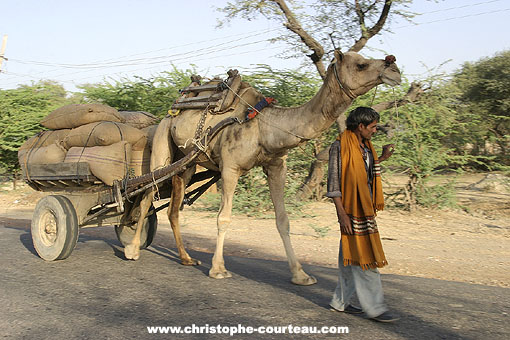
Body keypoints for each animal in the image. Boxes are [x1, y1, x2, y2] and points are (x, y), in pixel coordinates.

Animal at [124, 49, 402, 284]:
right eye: (361, 64)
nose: (394, 67)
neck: (265, 127)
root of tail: (174, 106)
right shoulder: (230, 167)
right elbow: (224, 217)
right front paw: (218, 269)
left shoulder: (276, 166)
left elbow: (283, 220)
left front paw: (301, 274)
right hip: (162, 141)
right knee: (148, 194)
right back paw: (133, 249)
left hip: (188, 163)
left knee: (173, 208)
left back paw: (186, 258)